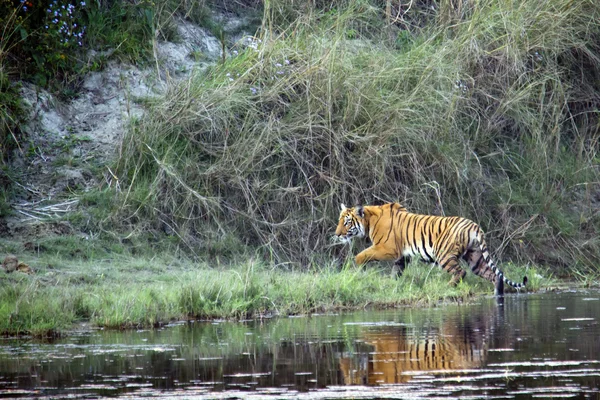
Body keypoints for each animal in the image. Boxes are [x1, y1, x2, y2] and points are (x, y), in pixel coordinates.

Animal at [336, 203, 528, 294]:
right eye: (340, 221)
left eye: (346, 222)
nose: (337, 234)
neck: (368, 221)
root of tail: (474, 226)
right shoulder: (402, 256)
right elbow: (396, 271)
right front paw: (392, 285)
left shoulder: (386, 248)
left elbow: (363, 254)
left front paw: (357, 266)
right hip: (475, 257)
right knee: (494, 275)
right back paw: (498, 293)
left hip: (444, 254)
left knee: (460, 272)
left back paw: (448, 286)